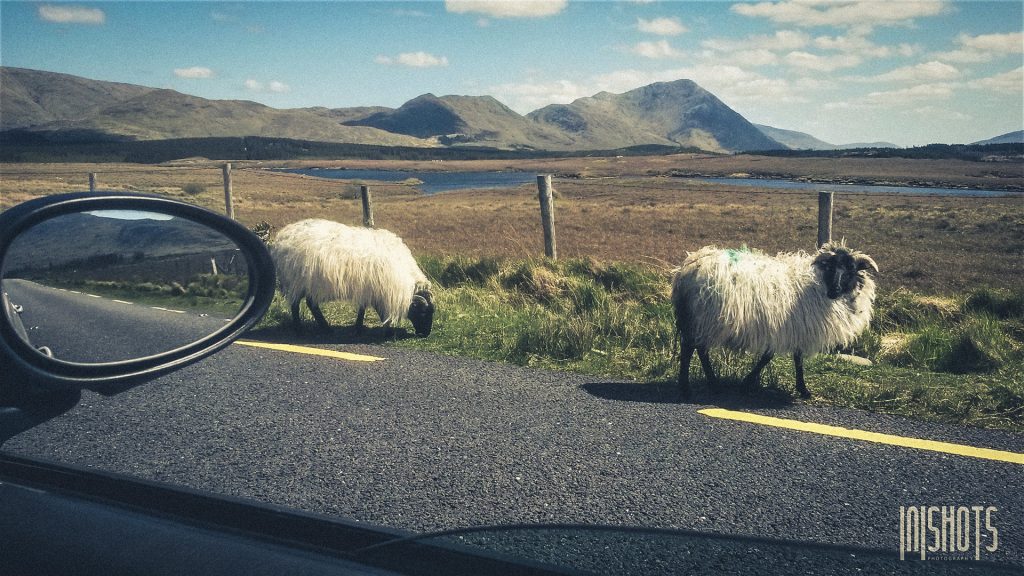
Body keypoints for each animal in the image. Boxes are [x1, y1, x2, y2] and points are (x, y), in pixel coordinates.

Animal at [270, 219, 434, 336]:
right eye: (423, 312)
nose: (426, 334)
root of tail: (282, 237)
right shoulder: (379, 289)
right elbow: (375, 310)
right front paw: (383, 330)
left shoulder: (371, 289)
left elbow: (363, 308)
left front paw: (360, 327)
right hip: (298, 281)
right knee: (296, 305)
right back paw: (301, 329)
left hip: (310, 283)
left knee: (311, 304)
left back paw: (324, 328)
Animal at [671, 239, 880, 397]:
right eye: (830, 267)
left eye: (851, 268)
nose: (834, 290)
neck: (819, 283)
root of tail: (687, 269)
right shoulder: (790, 327)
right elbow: (778, 357)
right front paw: (801, 389)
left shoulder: (790, 328)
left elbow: (787, 357)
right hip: (703, 318)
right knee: (691, 349)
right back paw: (688, 388)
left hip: (700, 320)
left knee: (699, 349)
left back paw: (711, 383)